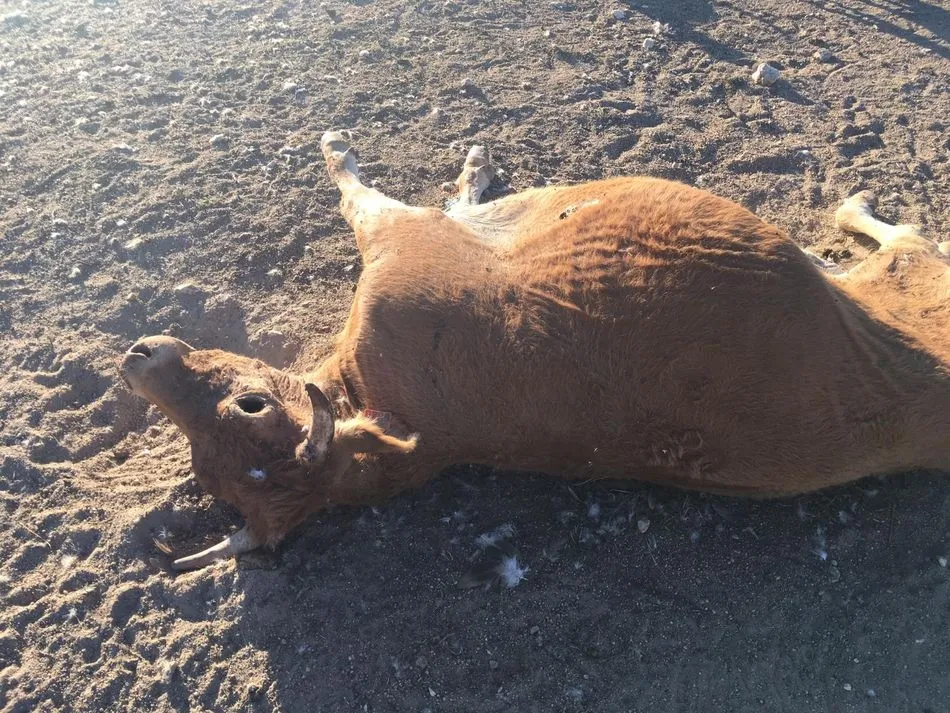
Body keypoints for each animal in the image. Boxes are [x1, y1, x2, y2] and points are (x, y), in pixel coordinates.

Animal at [118, 131, 950, 570]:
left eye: (250, 404)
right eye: (205, 464)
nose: (136, 356)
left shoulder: (403, 237)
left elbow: (366, 187)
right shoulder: (414, 237)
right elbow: (387, 190)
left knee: (902, 234)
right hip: (907, 273)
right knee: (906, 234)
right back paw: (852, 205)